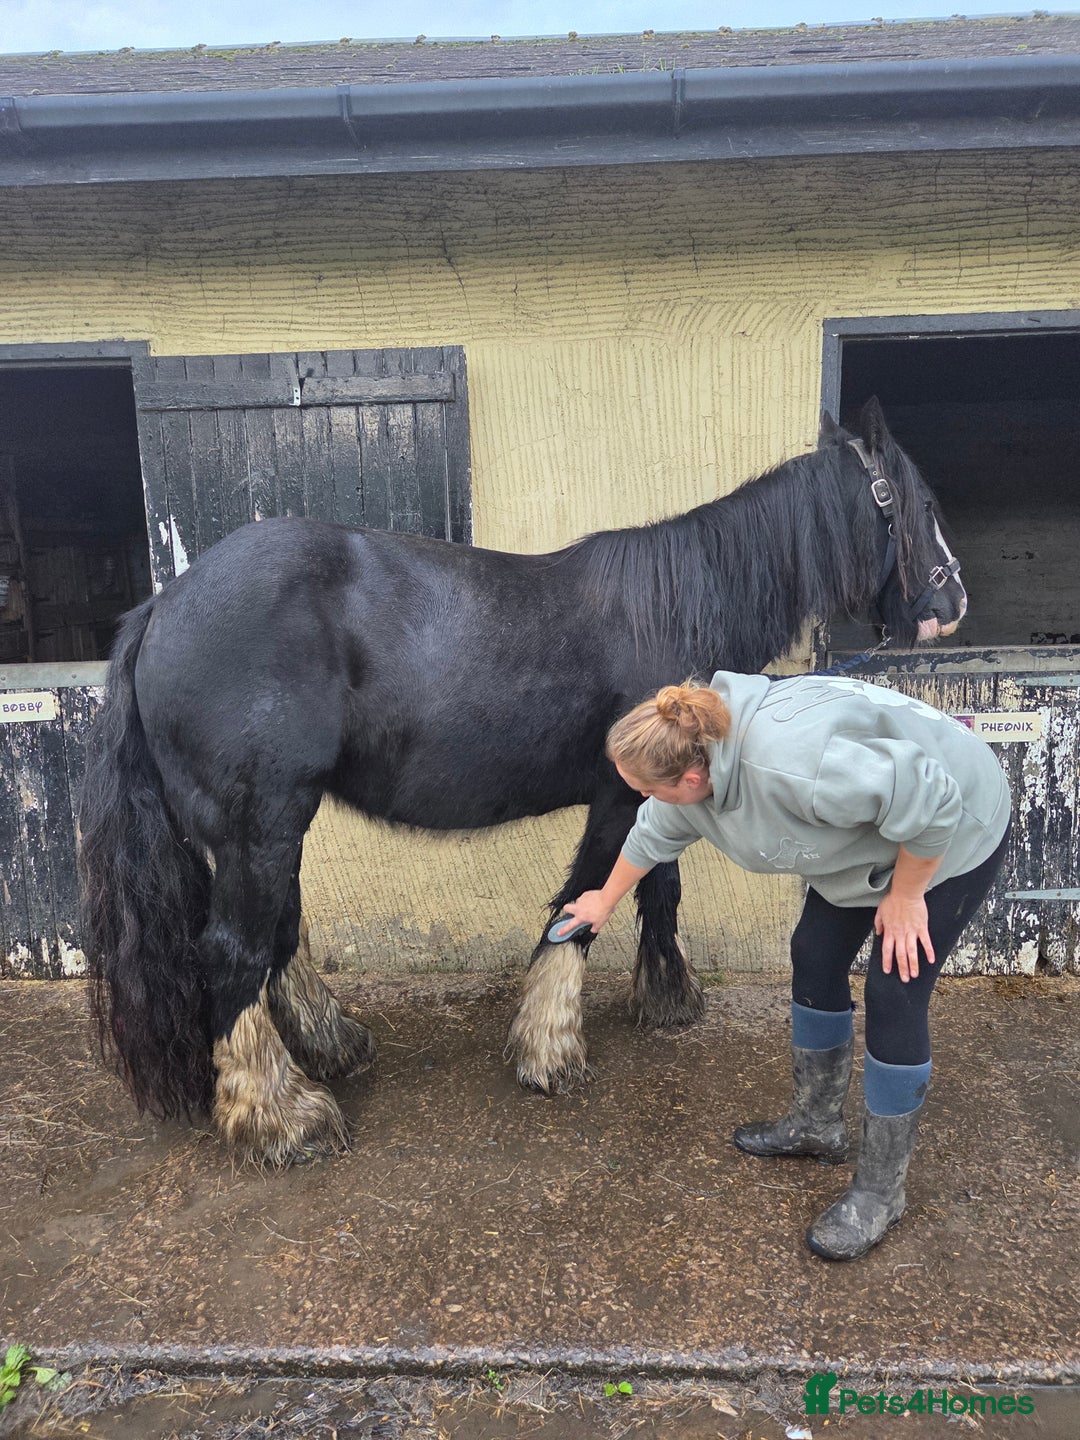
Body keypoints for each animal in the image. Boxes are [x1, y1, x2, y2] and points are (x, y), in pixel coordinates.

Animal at [78, 399, 967, 1165]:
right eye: (917, 501)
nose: (952, 598)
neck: (678, 602)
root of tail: (160, 610)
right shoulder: (617, 796)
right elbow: (585, 902)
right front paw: (549, 1050)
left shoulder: (658, 797)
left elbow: (658, 891)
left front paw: (667, 1001)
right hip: (260, 822)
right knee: (235, 951)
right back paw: (281, 1117)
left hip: (266, 827)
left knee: (279, 938)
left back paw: (330, 1047)